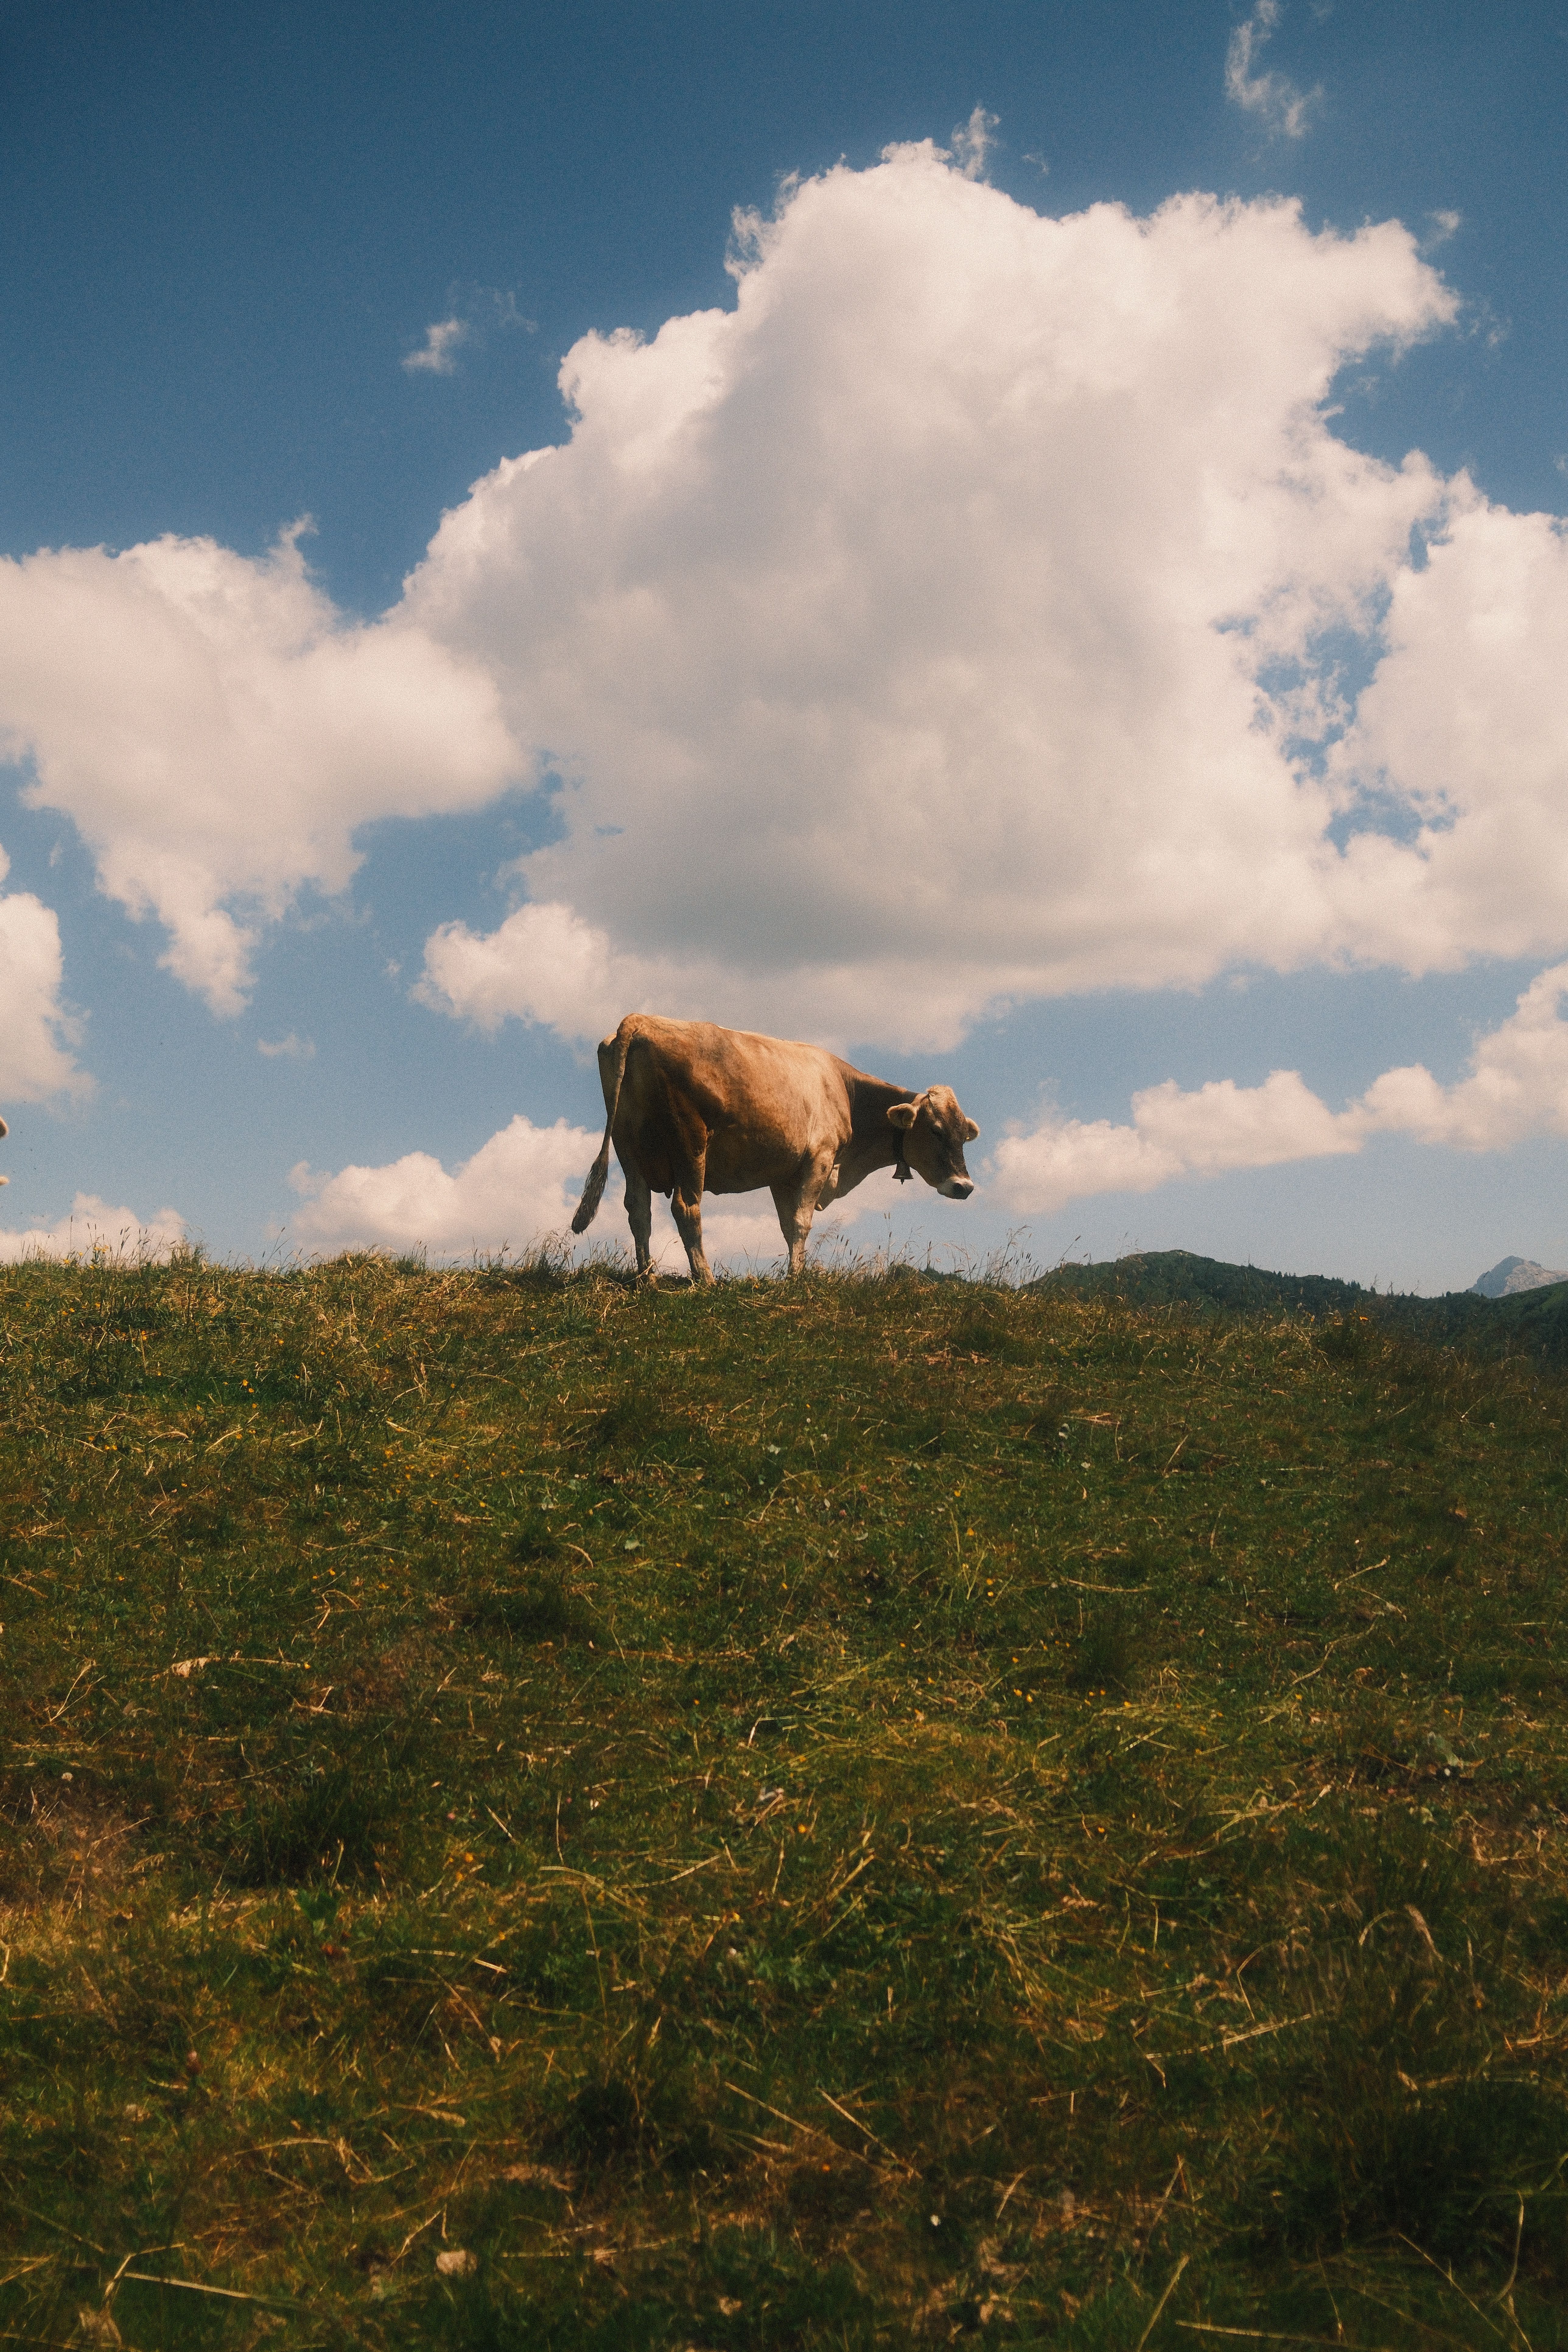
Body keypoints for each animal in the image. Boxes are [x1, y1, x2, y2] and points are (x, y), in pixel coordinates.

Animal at [569, 1013, 979, 1283]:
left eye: (963, 1136)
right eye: (936, 1130)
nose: (964, 1187)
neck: (845, 1091)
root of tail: (642, 1020)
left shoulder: (785, 1175)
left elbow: (787, 1225)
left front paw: (792, 1274)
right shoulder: (819, 1158)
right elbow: (801, 1222)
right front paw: (796, 1282)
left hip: (628, 1146)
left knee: (639, 1209)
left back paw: (649, 1280)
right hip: (690, 1142)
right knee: (686, 1208)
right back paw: (707, 1281)